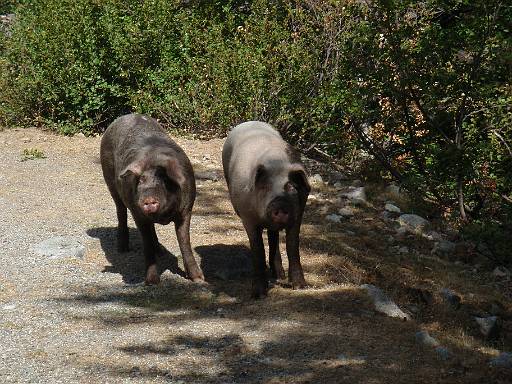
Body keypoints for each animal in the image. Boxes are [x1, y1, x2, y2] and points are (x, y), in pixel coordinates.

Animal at [100, 113, 204, 284]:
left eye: (164, 181)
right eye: (140, 182)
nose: (148, 198)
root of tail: (124, 116)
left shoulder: (186, 209)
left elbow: (185, 241)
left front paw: (198, 279)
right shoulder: (138, 214)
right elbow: (146, 243)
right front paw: (152, 282)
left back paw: (160, 250)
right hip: (109, 178)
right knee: (121, 211)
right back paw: (122, 249)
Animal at [222, 121, 310, 298]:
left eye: (291, 186)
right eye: (265, 187)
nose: (280, 204)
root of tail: (248, 122)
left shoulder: (298, 213)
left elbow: (292, 245)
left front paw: (301, 287)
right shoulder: (248, 218)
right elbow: (258, 250)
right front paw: (258, 294)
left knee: (273, 237)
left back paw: (279, 275)